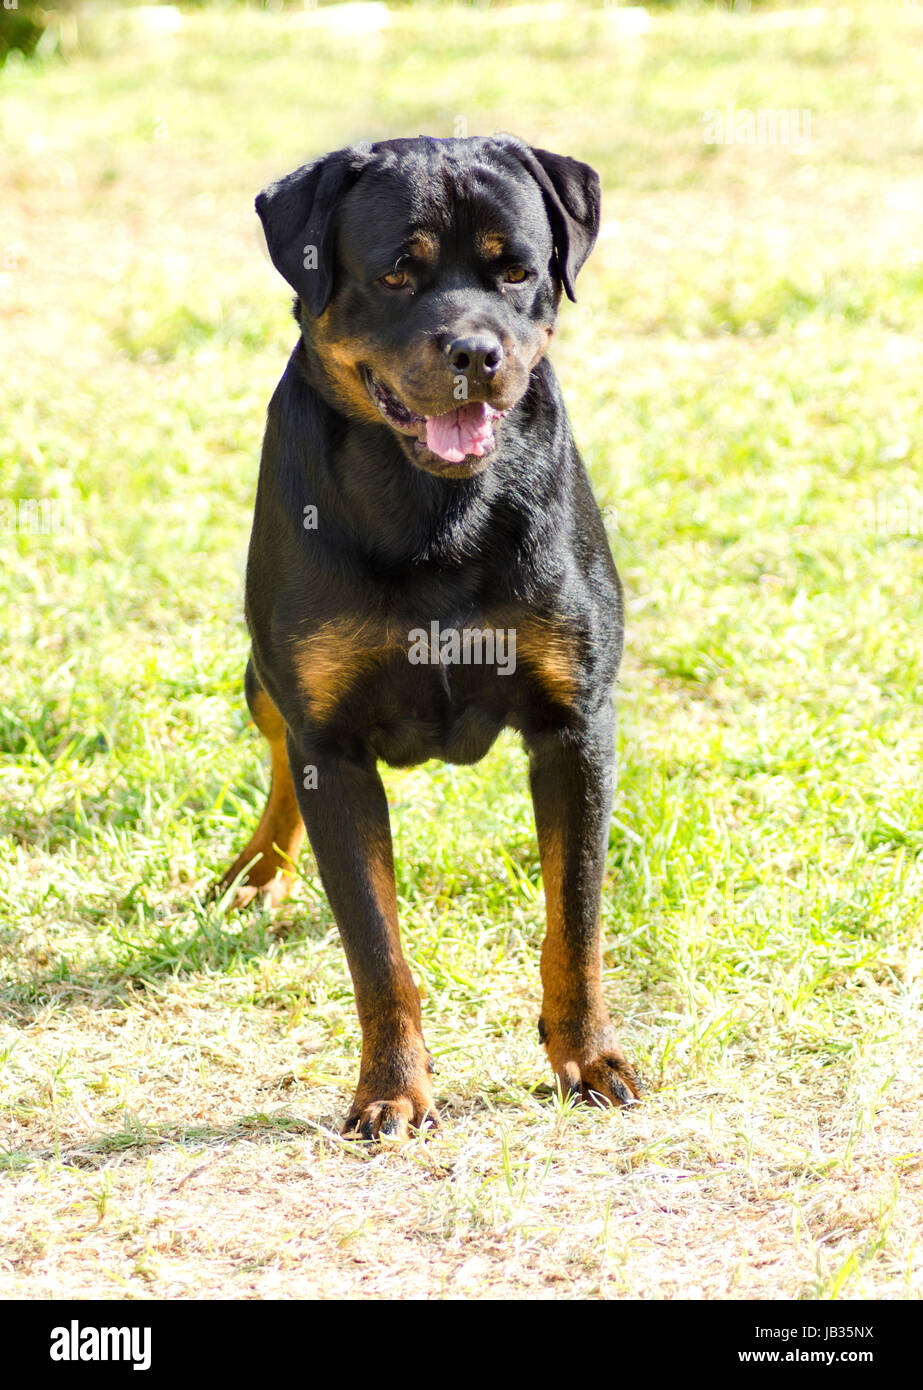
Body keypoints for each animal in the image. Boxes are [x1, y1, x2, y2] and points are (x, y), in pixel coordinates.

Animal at [222, 135, 642, 1139]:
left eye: (517, 270)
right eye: (395, 273)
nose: (474, 351)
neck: (433, 509)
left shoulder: (576, 725)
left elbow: (575, 915)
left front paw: (587, 1055)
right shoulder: (331, 743)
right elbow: (376, 949)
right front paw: (391, 1089)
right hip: (261, 676)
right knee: (275, 751)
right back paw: (258, 871)